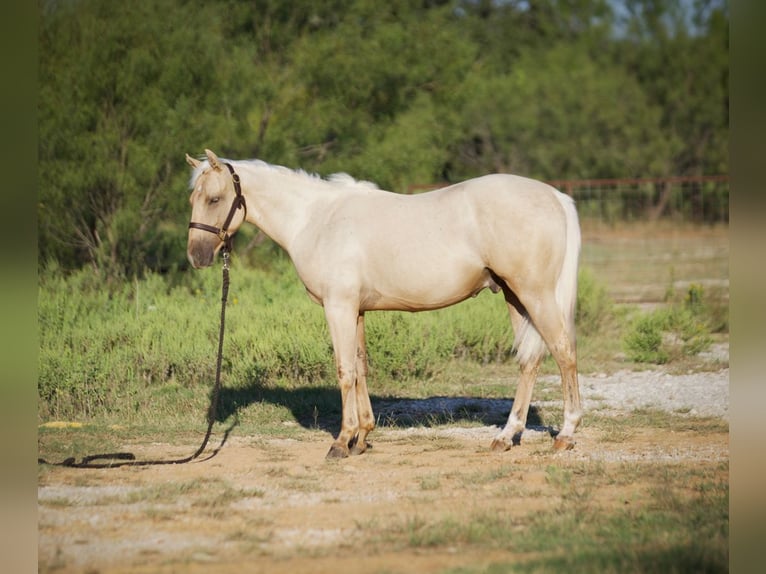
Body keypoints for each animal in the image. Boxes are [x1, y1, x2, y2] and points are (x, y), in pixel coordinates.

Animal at [186, 149, 582, 459]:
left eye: (215, 199)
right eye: (194, 199)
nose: (196, 256)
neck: (316, 219)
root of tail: (554, 196)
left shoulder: (339, 307)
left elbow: (345, 370)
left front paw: (342, 441)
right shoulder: (357, 310)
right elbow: (361, 367)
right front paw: (362, 437)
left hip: (535, 294)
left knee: (564, 352)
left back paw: (565, 435)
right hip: (516, 297)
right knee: (529, 360)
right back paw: (506, 436)